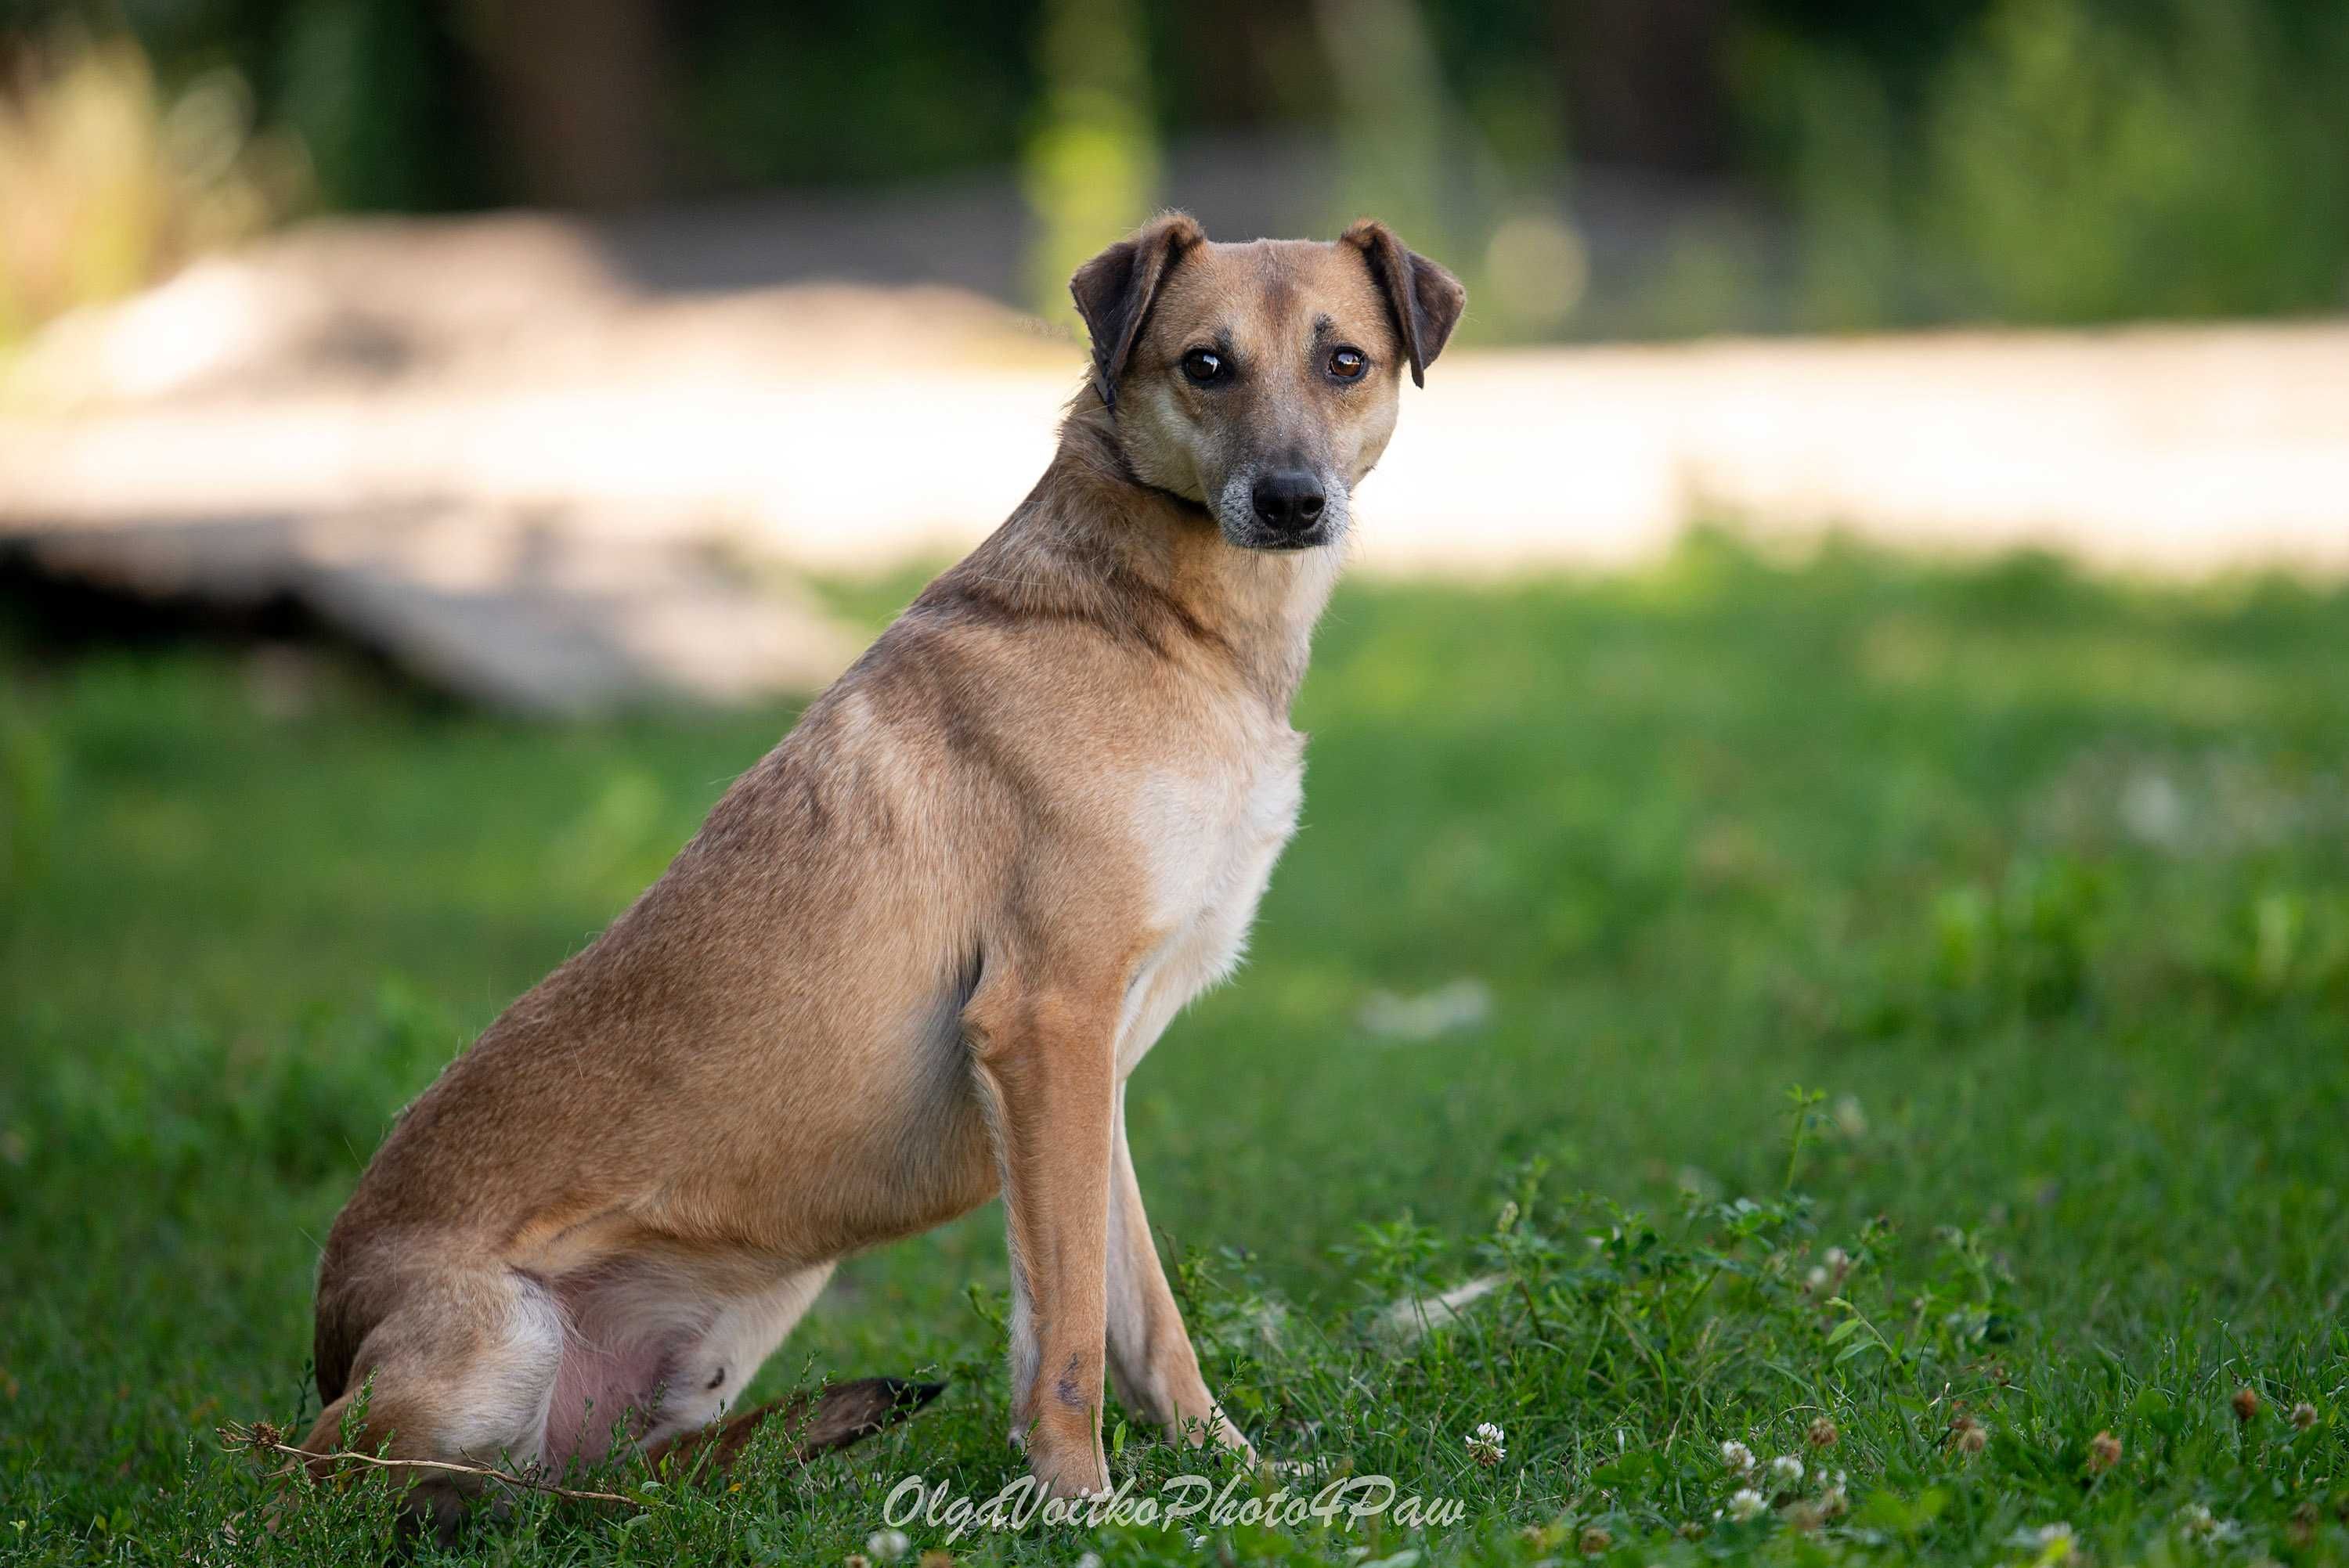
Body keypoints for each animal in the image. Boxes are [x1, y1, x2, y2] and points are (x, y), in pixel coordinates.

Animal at [303, 207, 1456, 1521]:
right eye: (1205, 364)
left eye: (1344, 361)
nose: (1292, 500)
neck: (1162, 621)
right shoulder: (1047, 1022)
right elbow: (1068, 1325)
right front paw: (1082, 1503)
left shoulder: (1092, 1072)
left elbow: (1138, 1314)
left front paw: (1234, 1473)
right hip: (494, 1346)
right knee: (328, 1484)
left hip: (744, 1306)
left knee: (623, 1473)